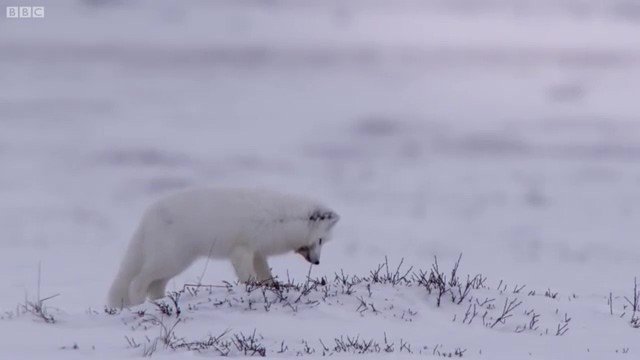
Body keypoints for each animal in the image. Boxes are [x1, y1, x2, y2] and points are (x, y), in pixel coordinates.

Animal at [107, 187, 340, 308]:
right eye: (320, 240)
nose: (317, 262)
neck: (282, 218)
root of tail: (147, 217)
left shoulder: (257, 252)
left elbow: (265, 273)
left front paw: (272, 287)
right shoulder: (241, 249)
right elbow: (247, 275)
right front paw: (252, 289)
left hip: (176, 263)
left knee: (155, 286)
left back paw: (162, 301)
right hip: (170, 259)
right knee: (138, 281)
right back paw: (138, 302)